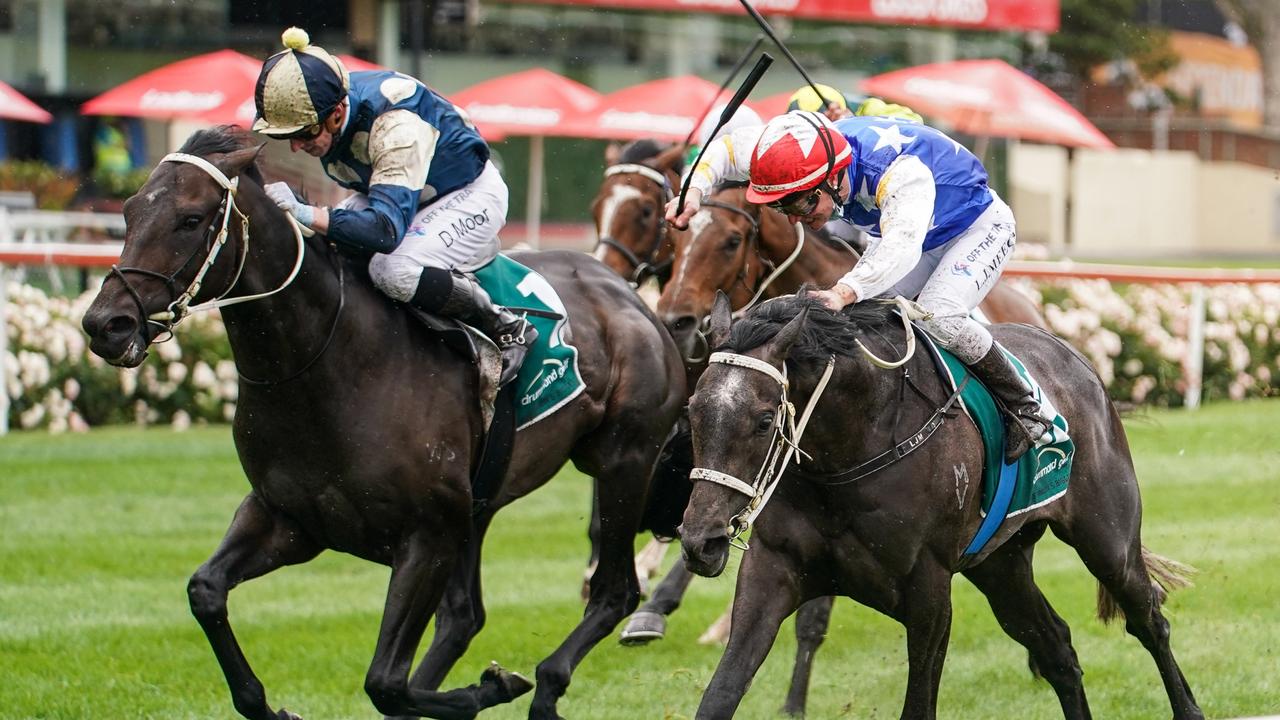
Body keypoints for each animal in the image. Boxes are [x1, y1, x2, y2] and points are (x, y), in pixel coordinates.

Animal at [77, 128, 691, 717]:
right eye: (129, 211)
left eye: (190, 218)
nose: (105, 323)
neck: (326, 362)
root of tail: (632, 298)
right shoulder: (290, 519)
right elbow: (204, 591)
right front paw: (272, 707)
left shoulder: (426, 536)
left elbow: (386, 683)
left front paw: (493, 686)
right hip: (480, 502)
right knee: (464, 617)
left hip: (622, 462)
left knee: (613, 592)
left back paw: (546, 685)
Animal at [680, 293, 1198, 717]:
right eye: (692, 411)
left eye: (765, 420)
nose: (699, 542)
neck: (852, 447)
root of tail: (1075, 357)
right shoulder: (772, 571)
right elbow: (721, 693)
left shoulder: (928, 589)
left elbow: (918, 704)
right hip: (1001, 565)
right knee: (1056, 648)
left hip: (1107, 540)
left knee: (1150, 621)